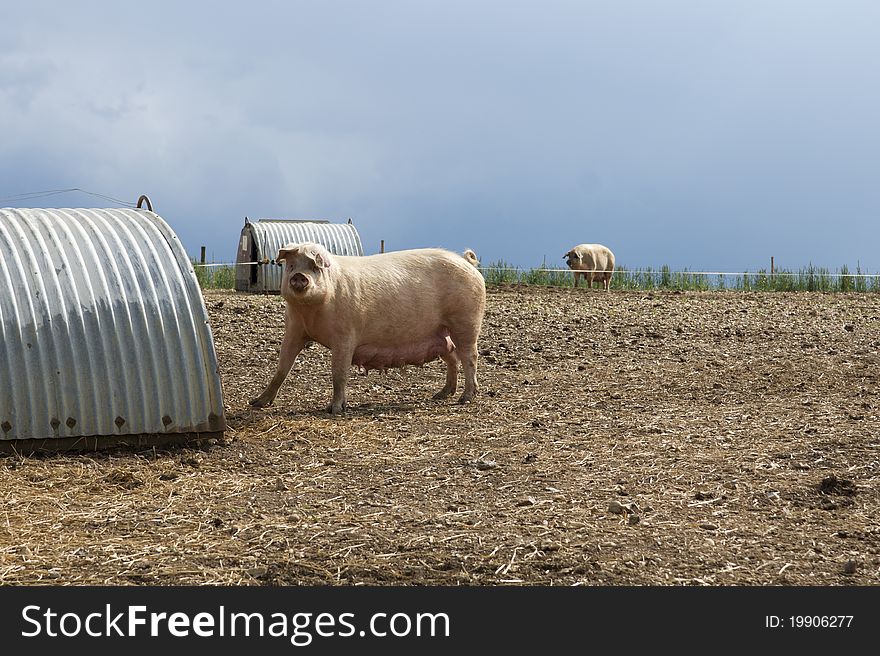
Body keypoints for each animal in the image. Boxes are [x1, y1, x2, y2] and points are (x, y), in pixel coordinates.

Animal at [249, 241, 488, 416]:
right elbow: (282, 368)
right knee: (452, 358)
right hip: (441, 332)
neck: (310, 313)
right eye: (290, 266)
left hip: (466, 321)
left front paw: (334, 410)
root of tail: (467, 262)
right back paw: (441, 394)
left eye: (315, 268)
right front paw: (257, 402)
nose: (299, 276)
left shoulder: (345, 335)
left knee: (470, 357)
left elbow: (339, 373)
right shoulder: (294, 330)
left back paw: (465, 398)